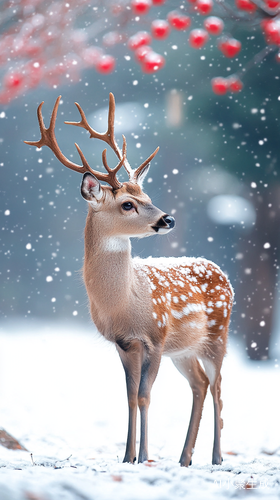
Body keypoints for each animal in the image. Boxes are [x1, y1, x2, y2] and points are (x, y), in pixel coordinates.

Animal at [24, 94, 234, 468]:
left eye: (148, 199)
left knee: (219, 386)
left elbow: (145, 395)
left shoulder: (156, 337)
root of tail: (223, 273)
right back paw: (184, 458)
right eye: (127, 204)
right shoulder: (123, 344)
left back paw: (216, 457)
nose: (168, 219)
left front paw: (145, 455)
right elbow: (130, 396)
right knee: (199, 384)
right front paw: (127, 456)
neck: (126, 303)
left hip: (217, 334)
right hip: (185, 348)